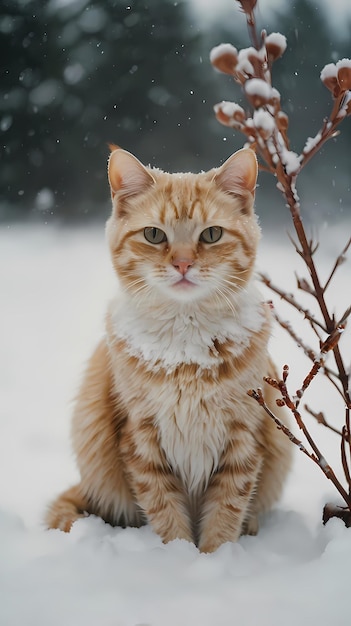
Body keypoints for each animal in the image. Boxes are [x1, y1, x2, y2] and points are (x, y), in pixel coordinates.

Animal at [46, 146, 294, 552]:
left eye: (211, 234)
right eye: (153, 234)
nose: (182, 264)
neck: (186, 347)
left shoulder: (243, 437)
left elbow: (226, 513)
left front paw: (215, 558)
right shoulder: (142, 440)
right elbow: (165, 513)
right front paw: (178, 557)